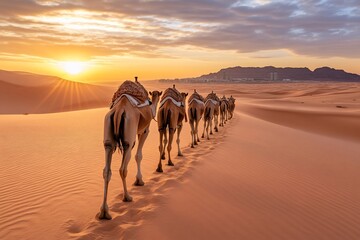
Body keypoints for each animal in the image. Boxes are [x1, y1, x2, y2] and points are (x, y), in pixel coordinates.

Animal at [97, 78, 161, 219]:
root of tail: (119, 110)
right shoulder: (144, 131)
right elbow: (139, 156)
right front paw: (139, 181)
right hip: (128, 140)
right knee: (123, 168)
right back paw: (127, 197)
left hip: (108, 138)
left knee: (106, 170)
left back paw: (104, 212)